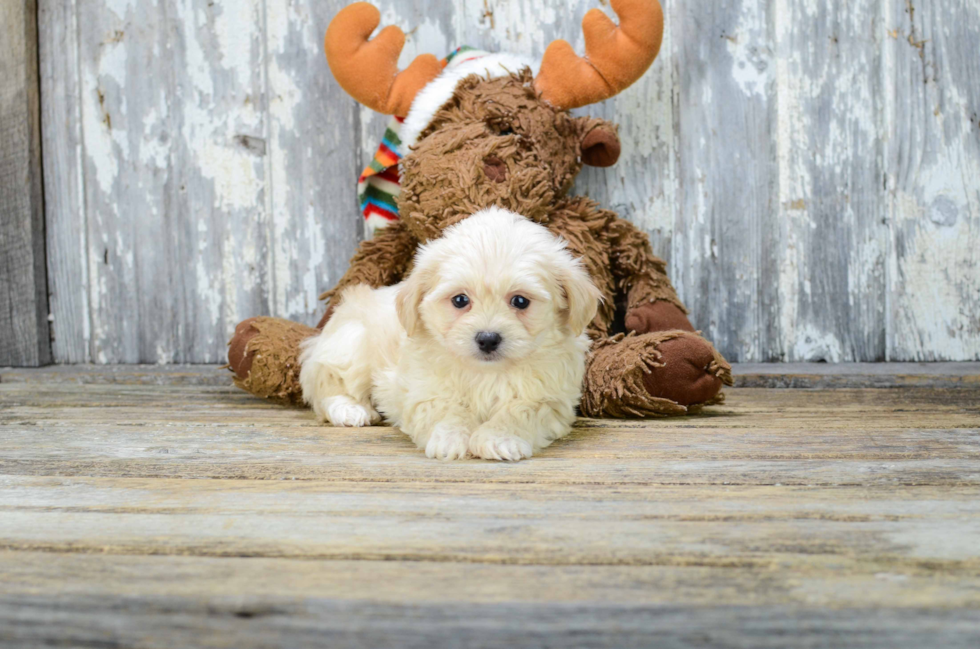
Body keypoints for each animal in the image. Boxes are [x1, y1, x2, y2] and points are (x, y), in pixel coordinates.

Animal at [296, 205, 596, 458]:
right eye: (460, 300)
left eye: (520, 301)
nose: (488, 339)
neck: (486, 373)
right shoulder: (423, 390)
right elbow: (445, 410)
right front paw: (451, 439)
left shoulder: (549, 399)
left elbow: (520, 410)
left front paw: (500, 438)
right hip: (351, 345)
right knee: (327, 382)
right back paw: (350, 410)